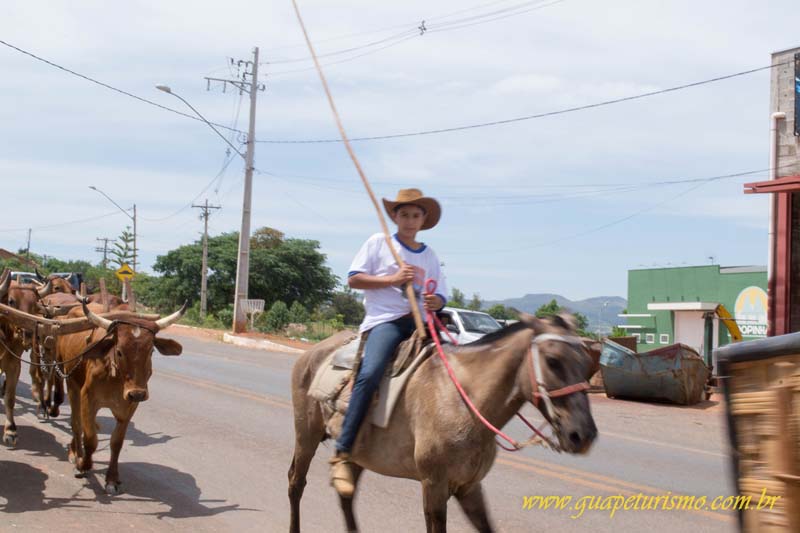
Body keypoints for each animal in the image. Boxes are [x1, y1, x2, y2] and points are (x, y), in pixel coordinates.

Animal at [288, 314, 592, 528]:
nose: (583, 435)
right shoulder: (434, 485)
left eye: (588, 364)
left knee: (346, 495)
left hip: (358, 454)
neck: (462, 401)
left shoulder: (469, 487)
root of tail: (314, 351)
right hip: (306, 434)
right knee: (296, 482)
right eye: (552, 360)